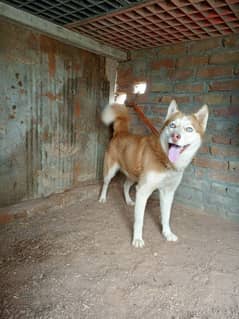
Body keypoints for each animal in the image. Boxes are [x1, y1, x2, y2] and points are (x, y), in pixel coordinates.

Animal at [98, 101, 208, 249]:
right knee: (105, 183)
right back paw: (102, 198)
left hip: (133, 176)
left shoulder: (168, 192)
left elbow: (166, 216)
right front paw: (137, 239)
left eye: (189, 129)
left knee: (125, 185)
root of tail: (121, 132)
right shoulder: (143, 190)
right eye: (172, 125)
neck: (165, 161)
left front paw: (167, 233)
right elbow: (139, 219)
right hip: (111, 171)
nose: (175, 136)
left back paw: (128, 201)